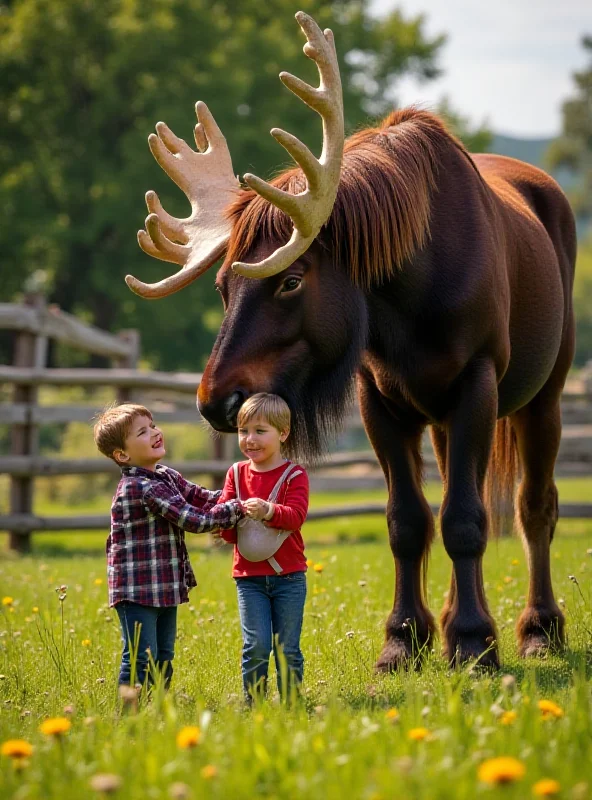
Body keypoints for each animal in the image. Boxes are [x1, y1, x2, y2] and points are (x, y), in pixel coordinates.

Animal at [127, 12, 576, 672]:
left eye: (290, 279)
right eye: (221, 283)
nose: (214, 399)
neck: (407, 301)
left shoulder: (477, 380)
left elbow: (467, 520)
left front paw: (474, 640)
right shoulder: (378, 398)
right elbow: (408, 520)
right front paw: (405, 638)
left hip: (544, 390)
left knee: (534, 505)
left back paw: (539, 627)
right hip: (441, 418)